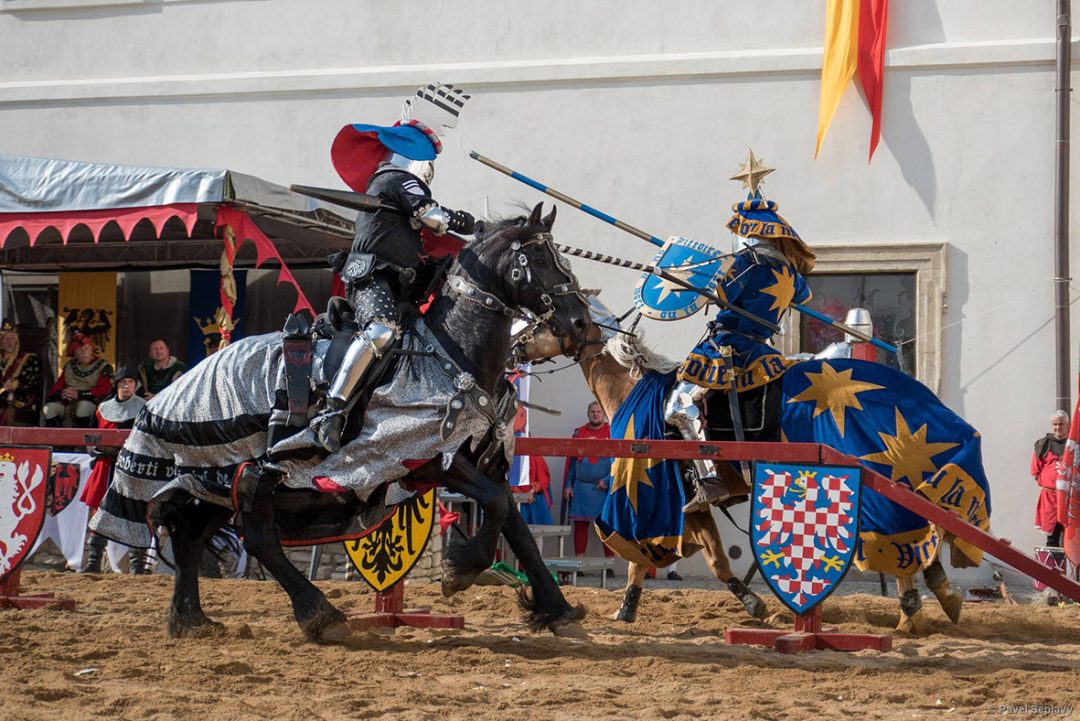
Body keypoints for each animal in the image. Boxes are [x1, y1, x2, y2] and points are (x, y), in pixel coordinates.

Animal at [95, 201, 591, 634]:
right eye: (541, 258)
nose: (582, 324)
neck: (450, 352)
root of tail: (169, 393)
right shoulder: (434, 459)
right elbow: (496, 505)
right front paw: (460, 570)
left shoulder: (485, 460)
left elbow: (515, 523)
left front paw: (557, 610)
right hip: (251, 476)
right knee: (255, 538)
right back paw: (318, 613)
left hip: (219, 481)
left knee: (193, 537)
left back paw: (192, 619)